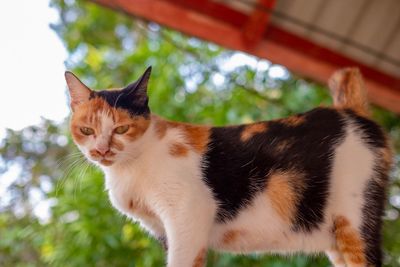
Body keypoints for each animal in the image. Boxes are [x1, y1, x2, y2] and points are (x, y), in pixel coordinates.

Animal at [65, 67, 390, 267]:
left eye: (121, 129)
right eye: (86, 130)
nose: (101, 149)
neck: (131, 166)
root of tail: (350, 110)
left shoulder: (188, 216)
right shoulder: (164, 231)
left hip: (355, 222)